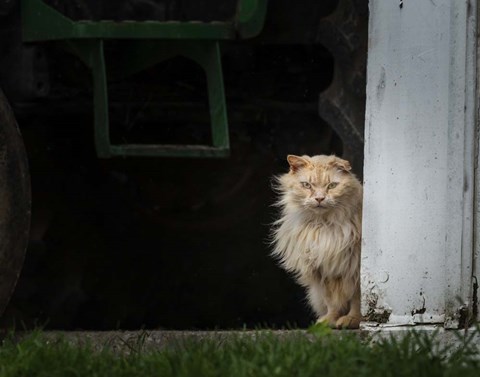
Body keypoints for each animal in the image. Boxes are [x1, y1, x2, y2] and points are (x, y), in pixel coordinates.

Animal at [272, 154, 362, 328]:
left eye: (332, 185)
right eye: (306, 185)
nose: (319, 198)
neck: (322, 226)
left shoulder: (354, 268)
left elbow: (357, 299)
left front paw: (353, 320)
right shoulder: (321, 269)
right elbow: (331, 302)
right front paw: (329, 321)